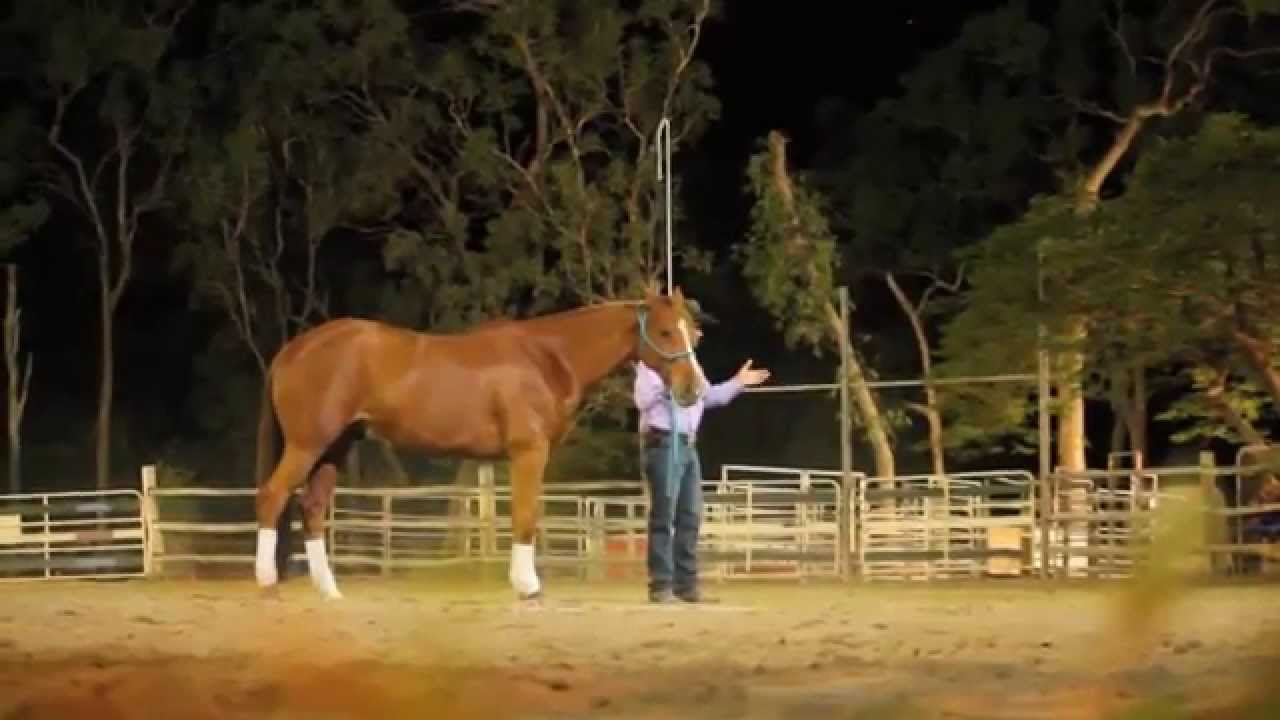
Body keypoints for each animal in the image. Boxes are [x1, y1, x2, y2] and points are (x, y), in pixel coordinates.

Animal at [253, 287, 709, 600]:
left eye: (694, 333)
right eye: (665, 332)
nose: (693, 390)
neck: (546, 357)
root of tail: (294, 349)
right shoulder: (528, 452)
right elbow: (525, 516)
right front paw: (527, 585)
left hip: (334, 448)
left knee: (312, 507)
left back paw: (329, 592)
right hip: (307, 444)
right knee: (273, 495)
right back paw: (267, 583)